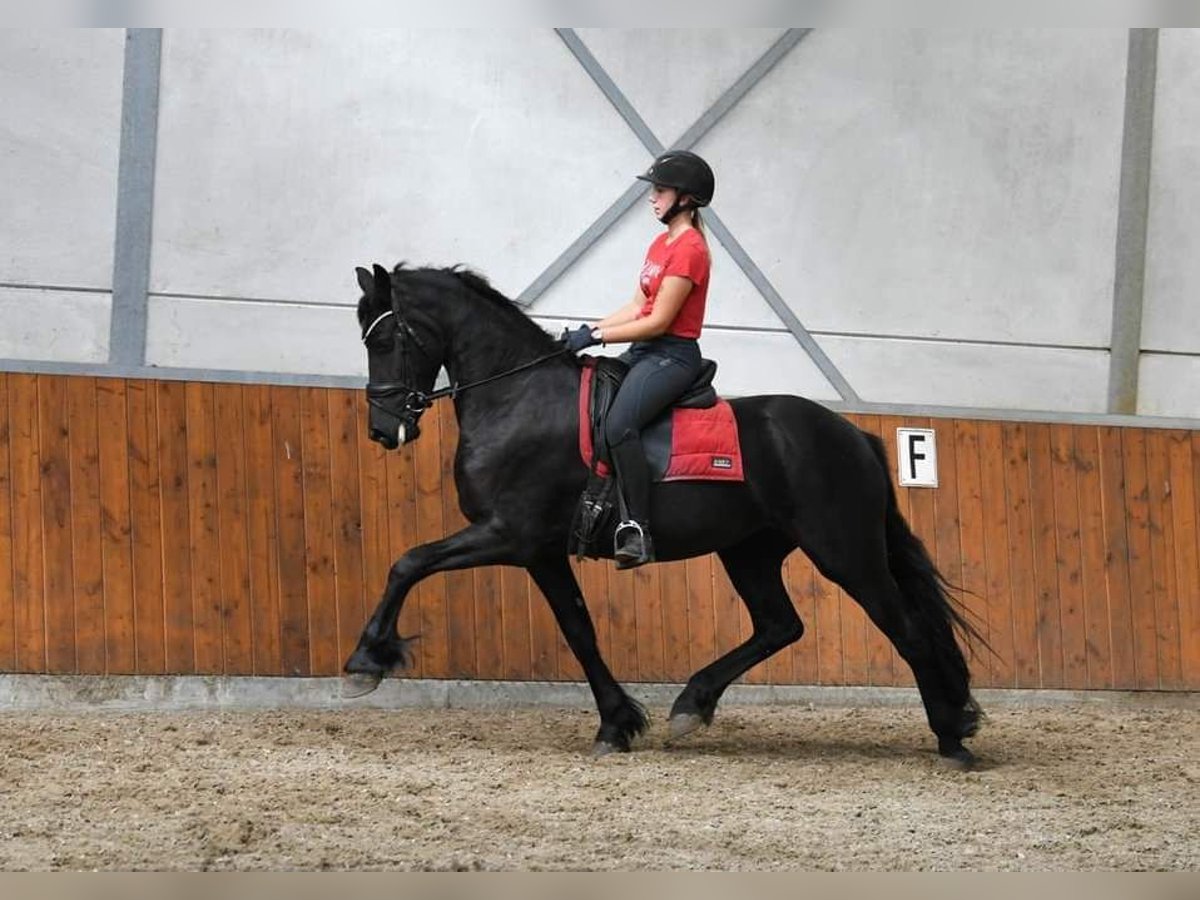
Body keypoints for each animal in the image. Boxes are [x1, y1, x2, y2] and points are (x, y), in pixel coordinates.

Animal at [348, 260, 984, 768]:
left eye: (386, 340)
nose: (383, 430)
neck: (519, 397)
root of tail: (855, 436)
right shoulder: (541, 551)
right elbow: (579, 630)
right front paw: (616, 724)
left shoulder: (508, 534)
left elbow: (409, 562)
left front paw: (366, 660)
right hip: (750, 550)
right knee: (780, 624)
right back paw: (692, 703)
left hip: (844, 550)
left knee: (906, 628)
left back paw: (952, 737)